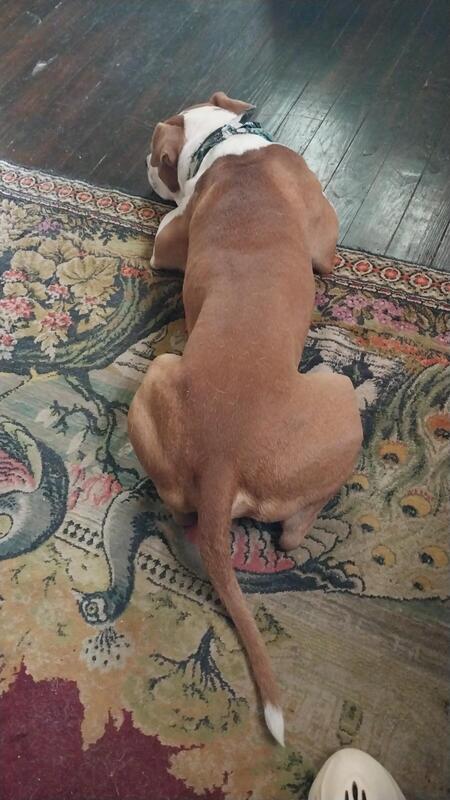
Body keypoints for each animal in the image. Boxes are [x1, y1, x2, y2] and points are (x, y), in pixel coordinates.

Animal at [128, 91, 363, 745]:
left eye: (153, 152)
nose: (142, 165)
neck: (228, 145)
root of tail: (222, 459)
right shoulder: (323, 247)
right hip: (338, 396)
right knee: (295, 527)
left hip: (157, 382)